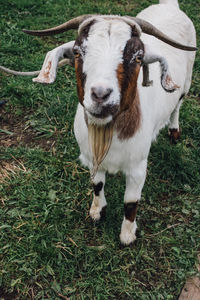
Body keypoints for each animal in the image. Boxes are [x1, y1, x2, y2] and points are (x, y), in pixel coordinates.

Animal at [0, 0, 196, 246]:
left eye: (138, 57)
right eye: (77, 52)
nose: (101, 95)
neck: (109, 132)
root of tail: (170, 5)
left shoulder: (138, 166)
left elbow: (131, 202)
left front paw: (127, 235)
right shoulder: (91, 156)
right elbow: (97, 185)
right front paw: (97, 212)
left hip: (186, 81)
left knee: (178, 104)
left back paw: (174, 130)